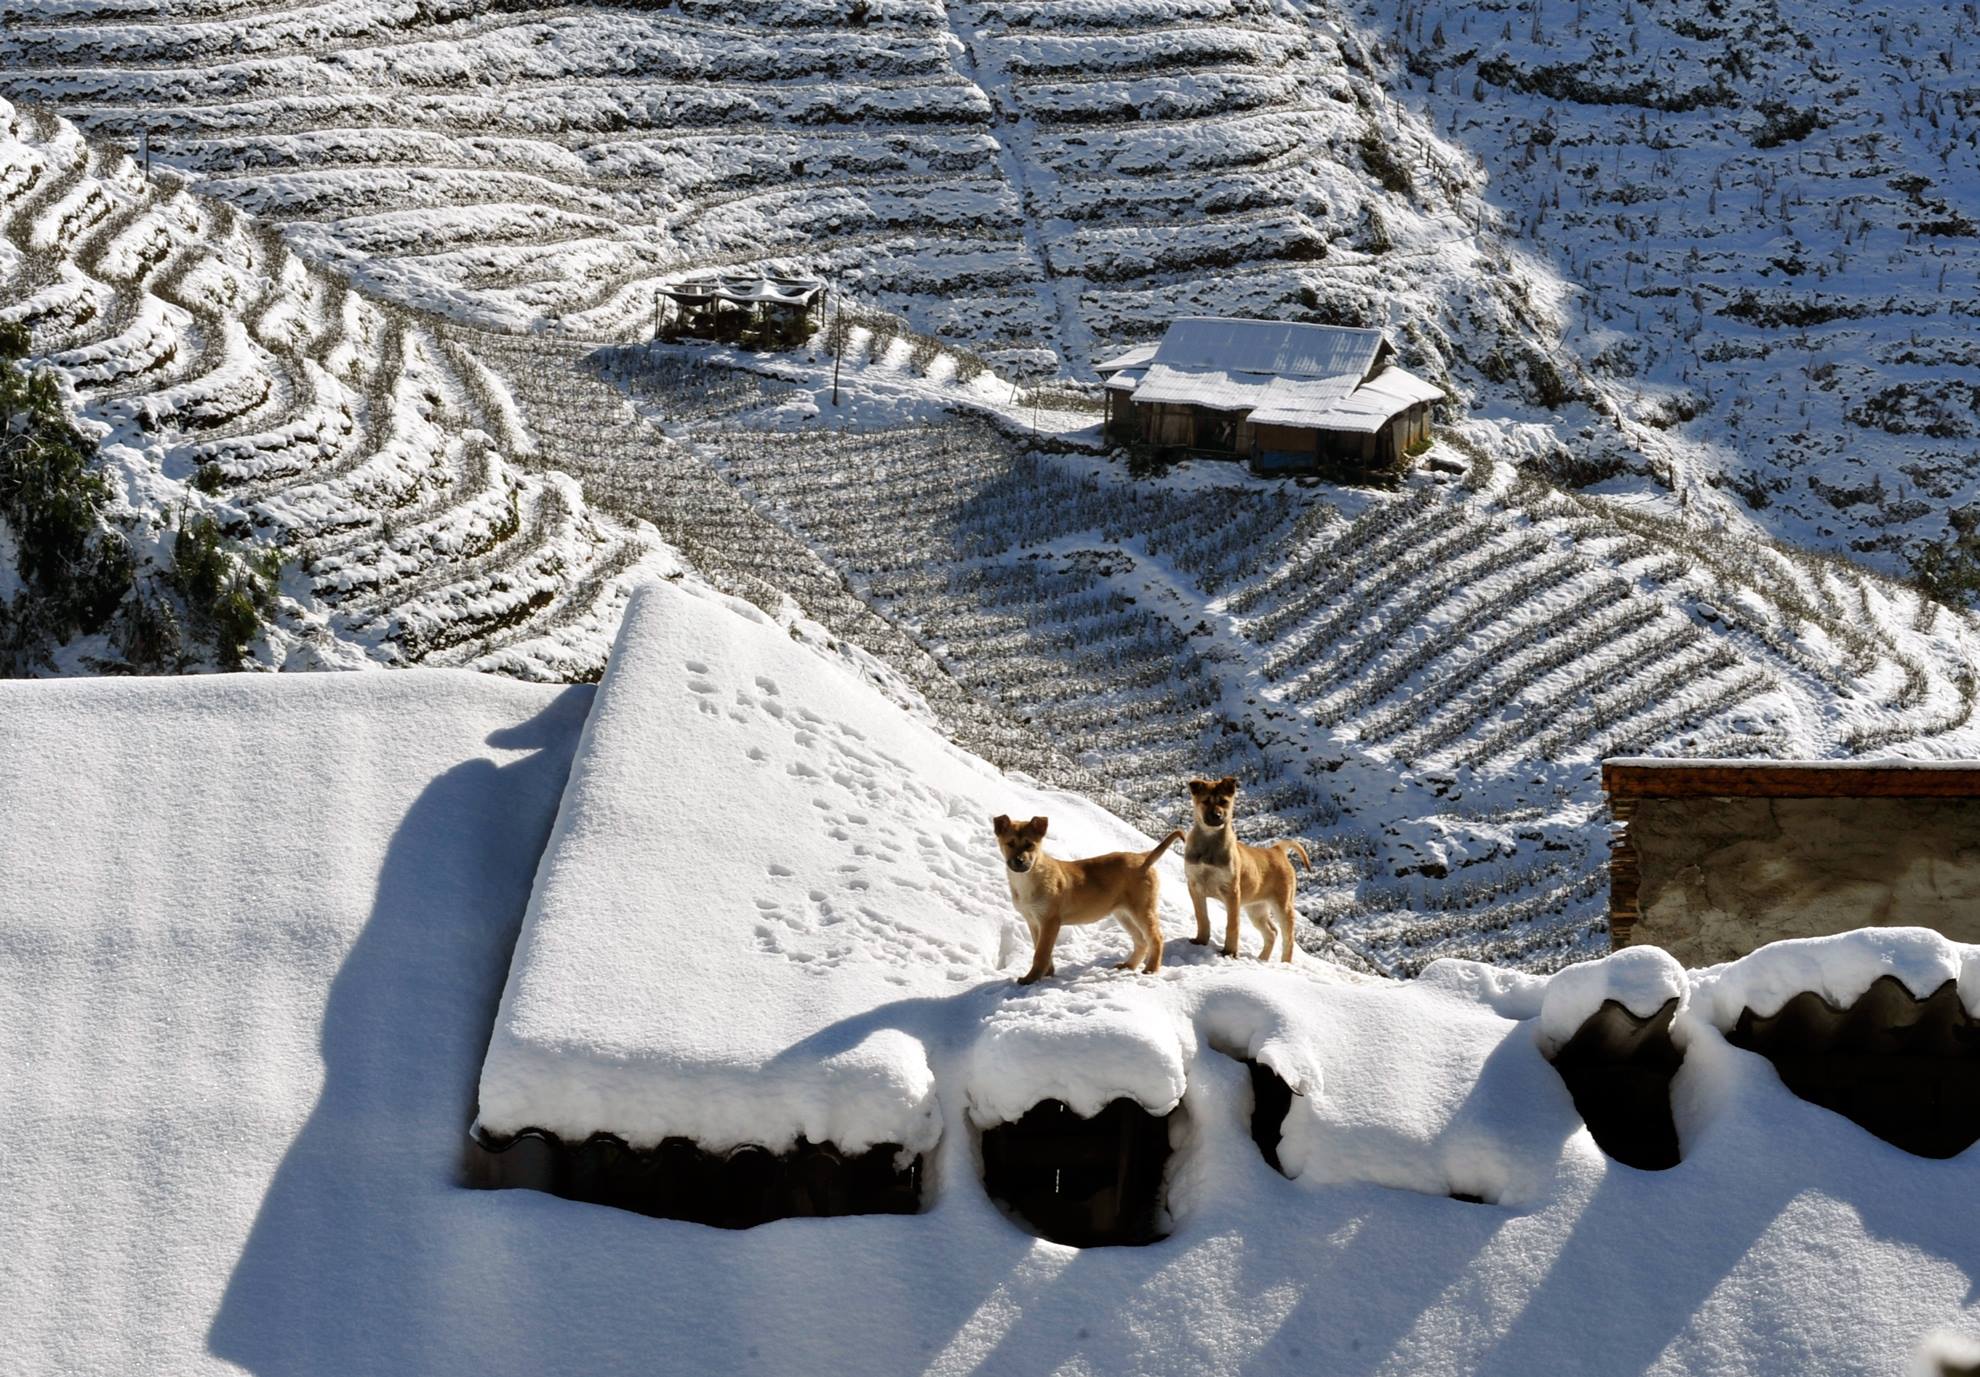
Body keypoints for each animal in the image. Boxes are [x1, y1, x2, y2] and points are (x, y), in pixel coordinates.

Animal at [997, 812, 1180, 986]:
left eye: (1030, 844)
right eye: (1010, 843)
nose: (1019, 862)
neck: (1028, 878)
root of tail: (1143, 858)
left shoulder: (1049, 921)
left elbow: (1041, 953)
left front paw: (1031, 978)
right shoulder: (1033, 921)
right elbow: (1041, 949)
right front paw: (1047, 973)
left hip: (1142, 909)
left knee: (1156, 938)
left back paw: (1151, 969)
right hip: (1123, 913)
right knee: (1141, 941)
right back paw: (1128, 965)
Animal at [1180, 780, 1306, 962]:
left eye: (1224, 801)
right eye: (1205, 801)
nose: (1217, 816)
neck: (1209, 843)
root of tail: (1277, 850)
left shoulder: (1232, 891)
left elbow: (1233, 924)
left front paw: (1229, 952)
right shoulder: (1195, 886)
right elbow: (1202, 917)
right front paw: (1200, 941)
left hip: (1283, 905)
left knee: (1288, 938)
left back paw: (1285, 964)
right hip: (1256, 907)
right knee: (1272, 932)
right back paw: (1262, 959)